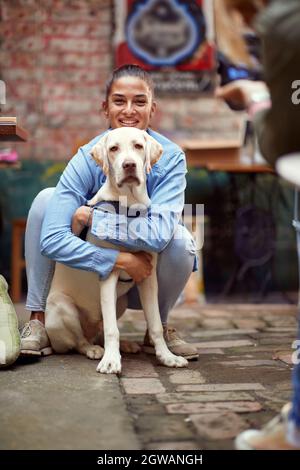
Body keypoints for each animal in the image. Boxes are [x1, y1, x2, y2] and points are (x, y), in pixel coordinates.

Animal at [45, 127, 188, 374]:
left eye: (138, 146)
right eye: (113, 149)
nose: (129, 165)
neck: (128, 204)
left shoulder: (148, 277)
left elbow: (155, 324)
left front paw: (167, 357)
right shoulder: (109, 273)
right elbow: (113, 329)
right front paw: (111, 361)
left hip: (118, 302)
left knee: (99, 332)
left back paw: (126, 345)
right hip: (60, 307)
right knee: (80, 341)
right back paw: (94, 350)